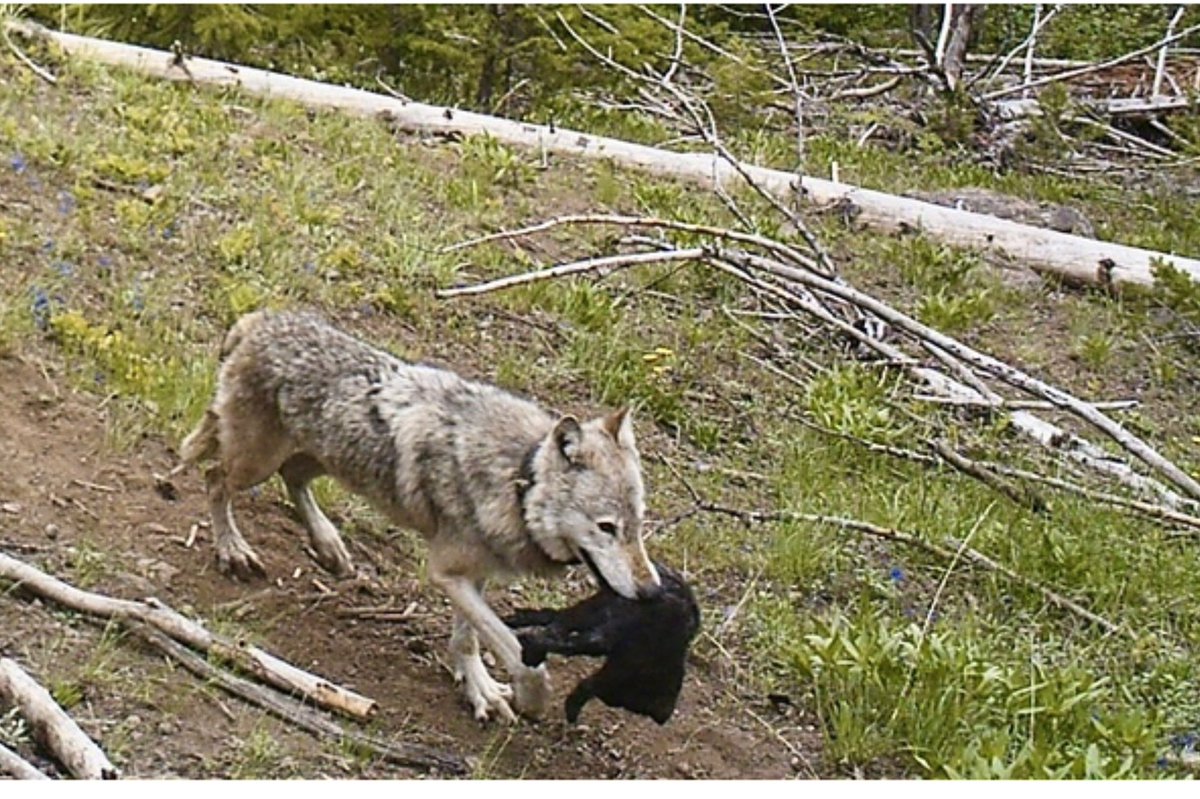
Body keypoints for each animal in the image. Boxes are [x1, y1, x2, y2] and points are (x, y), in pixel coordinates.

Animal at [178, 310, 662, 723]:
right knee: (213, 478)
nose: (653, 592)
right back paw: (233, 550)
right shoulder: (446, 572)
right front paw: (528, 696)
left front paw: (480, 690)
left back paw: (329, 545)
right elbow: (518, 653)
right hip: (256, 463)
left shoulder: (474, 574)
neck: (517, 481)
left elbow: (467, 638)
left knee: (290, 478)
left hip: (322, 460)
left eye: (638, 526)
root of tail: (258, 319)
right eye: (607, 528)